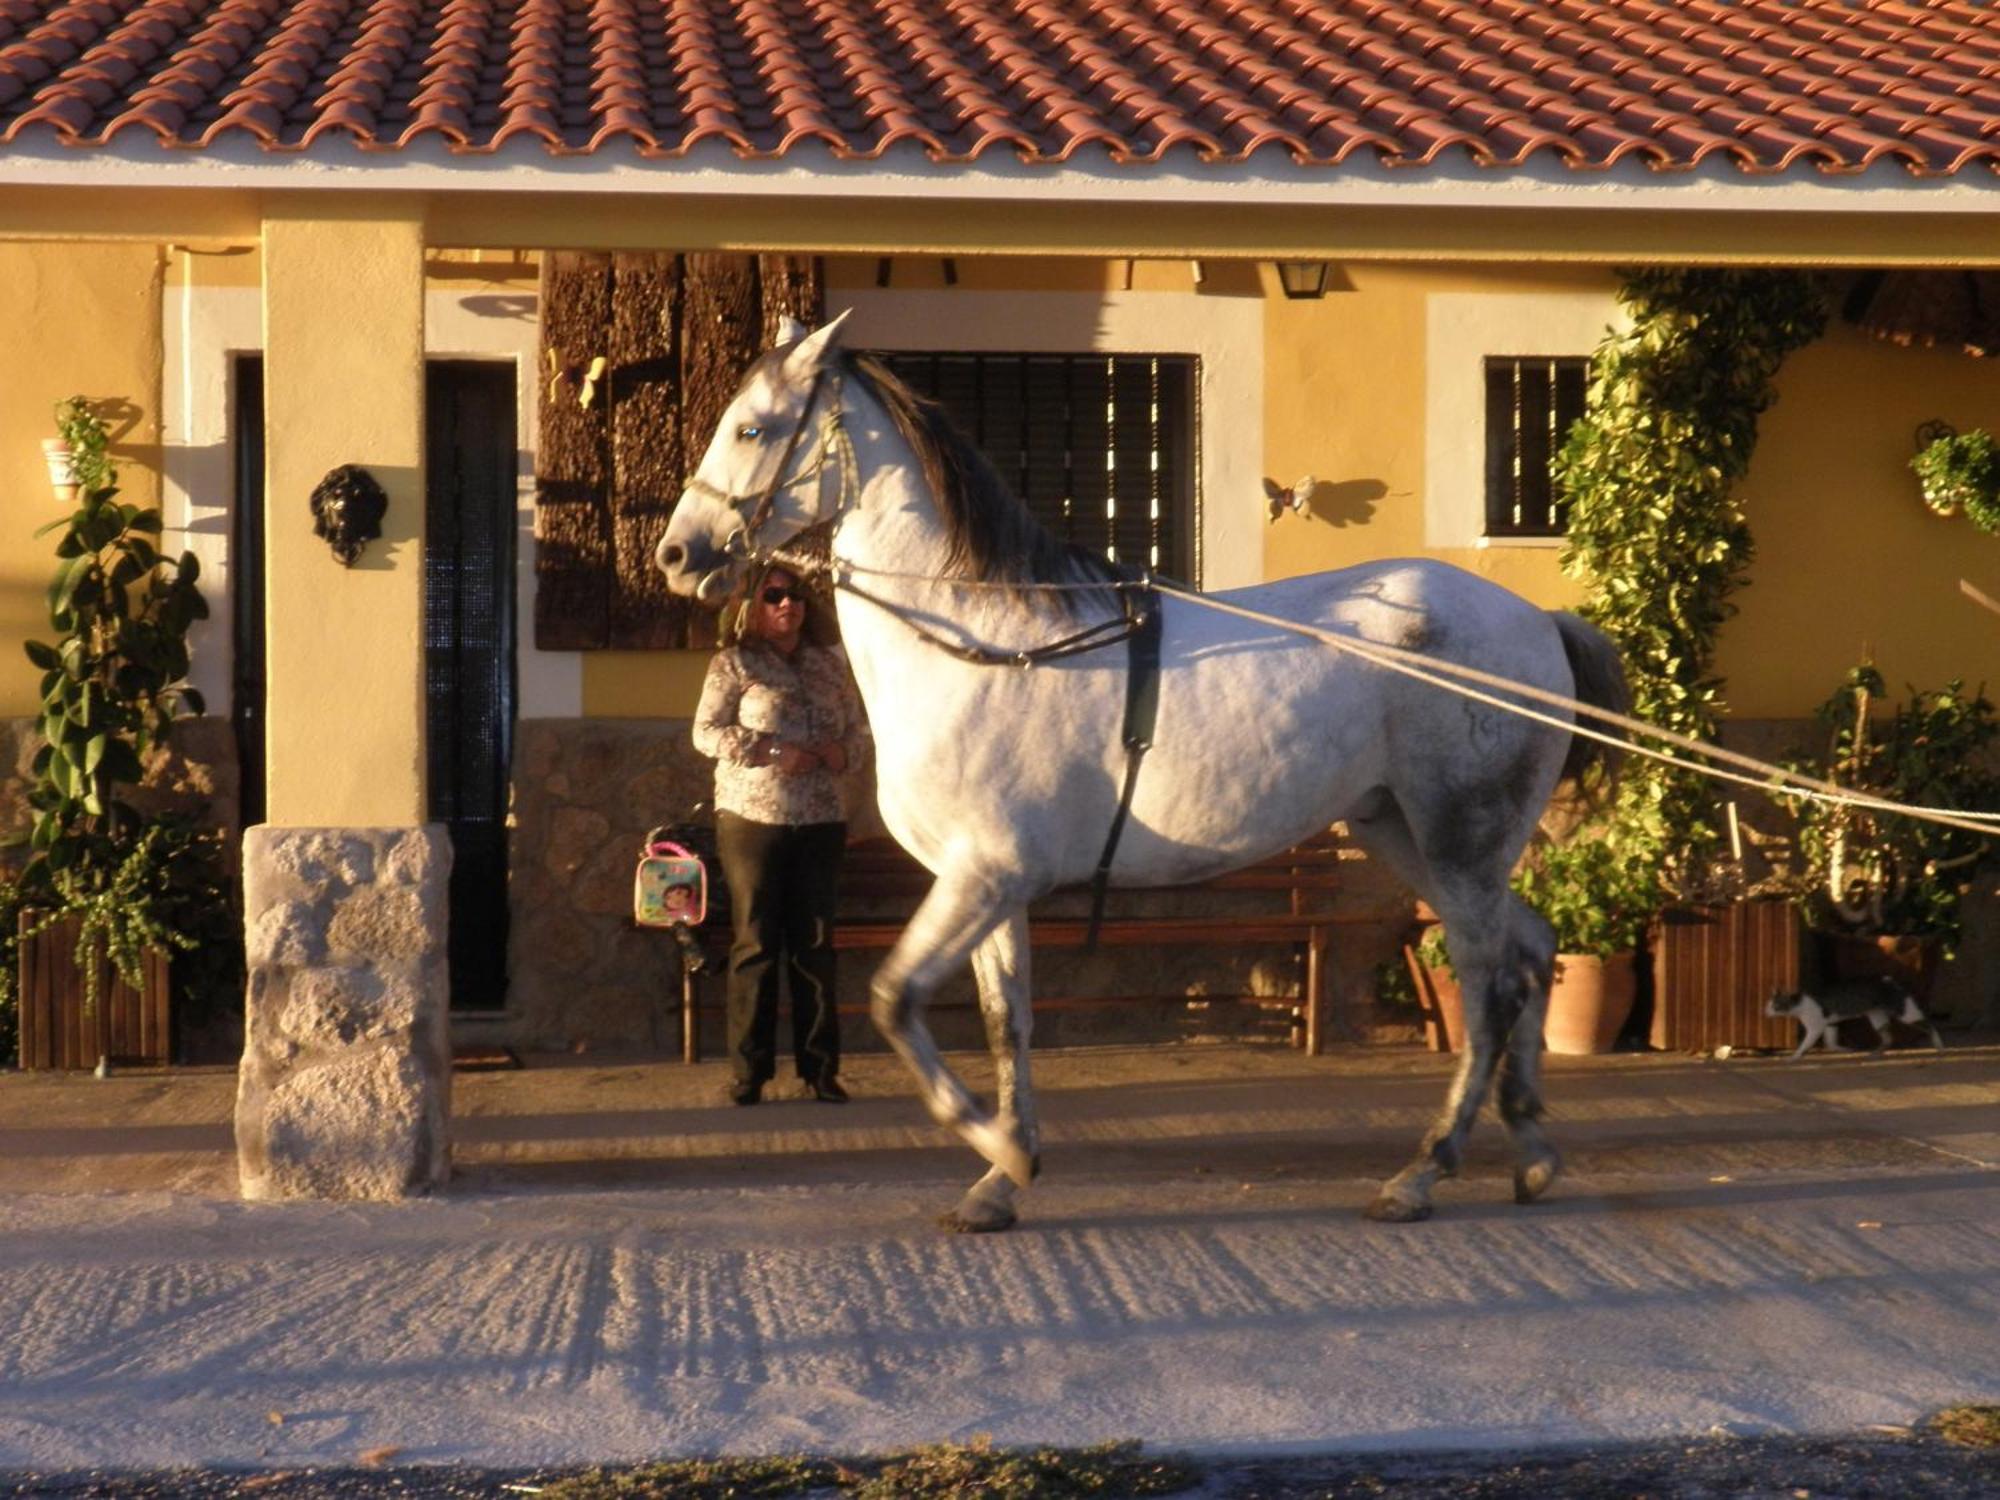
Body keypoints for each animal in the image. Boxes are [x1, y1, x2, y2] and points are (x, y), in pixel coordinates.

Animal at [656, 314, 1624, 1232]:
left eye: (752, 426)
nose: (677, 555)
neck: (986, 640)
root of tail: (1537, 621)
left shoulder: (983, 874)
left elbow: (897, 1002)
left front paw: (996, 1145)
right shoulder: (994, 886)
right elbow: (1006, 1021)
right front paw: (1001, 1180)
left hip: (1460, 844)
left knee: (1491, 986)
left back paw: (1424, 1173)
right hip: (1406, 836)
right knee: (1532, 952)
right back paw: (1531, 1152)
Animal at [1768, 976, 1936, 1056]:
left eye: (1775, 1006)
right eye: (1768, 1005)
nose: (1765, 1011)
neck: (1800, 1004)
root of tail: (1888, 980)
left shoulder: (1816, 1027)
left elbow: (1804, 1044)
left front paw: (1795, 1056)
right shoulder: (1830, 1023)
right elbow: (1831, 1042)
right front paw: (1843, 1049)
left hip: (1905, 1013)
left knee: (1928, 1022)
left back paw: (1938, 1045)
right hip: (1877, 1018)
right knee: (1888, 1037)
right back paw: (1876, 1052)